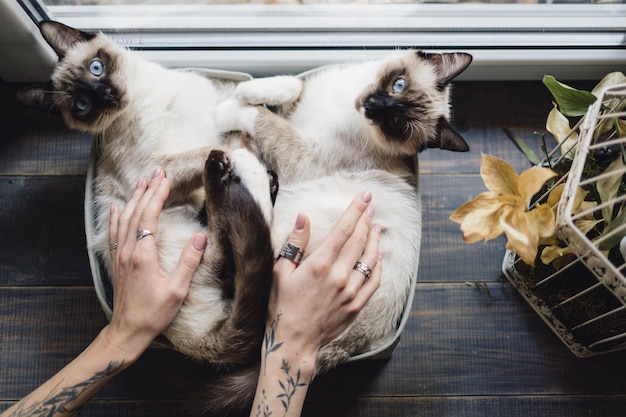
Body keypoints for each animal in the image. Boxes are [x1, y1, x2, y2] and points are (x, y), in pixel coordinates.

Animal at [15, 20, 276, 364]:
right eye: (82, 106)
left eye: (97, 68)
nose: (107, 95)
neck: (144, 96)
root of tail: (195, 345)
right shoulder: (158, 169)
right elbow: (216, 148)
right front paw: (243, 160)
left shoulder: (213, 116)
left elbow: (233, 125)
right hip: (190, 238)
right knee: (224, 250)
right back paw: (233, 179)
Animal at [202, 48, 470, 412]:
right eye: (398, 84)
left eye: (397, 124)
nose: (374, 105)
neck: (348, 103)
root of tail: (350, 346)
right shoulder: (304, 99)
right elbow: (288, 86)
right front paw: (246, 92)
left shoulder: (301, 155)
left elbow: (260, 118)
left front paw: (226, 109)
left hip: (293, 217)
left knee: (244, 240)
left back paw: (236, 162)